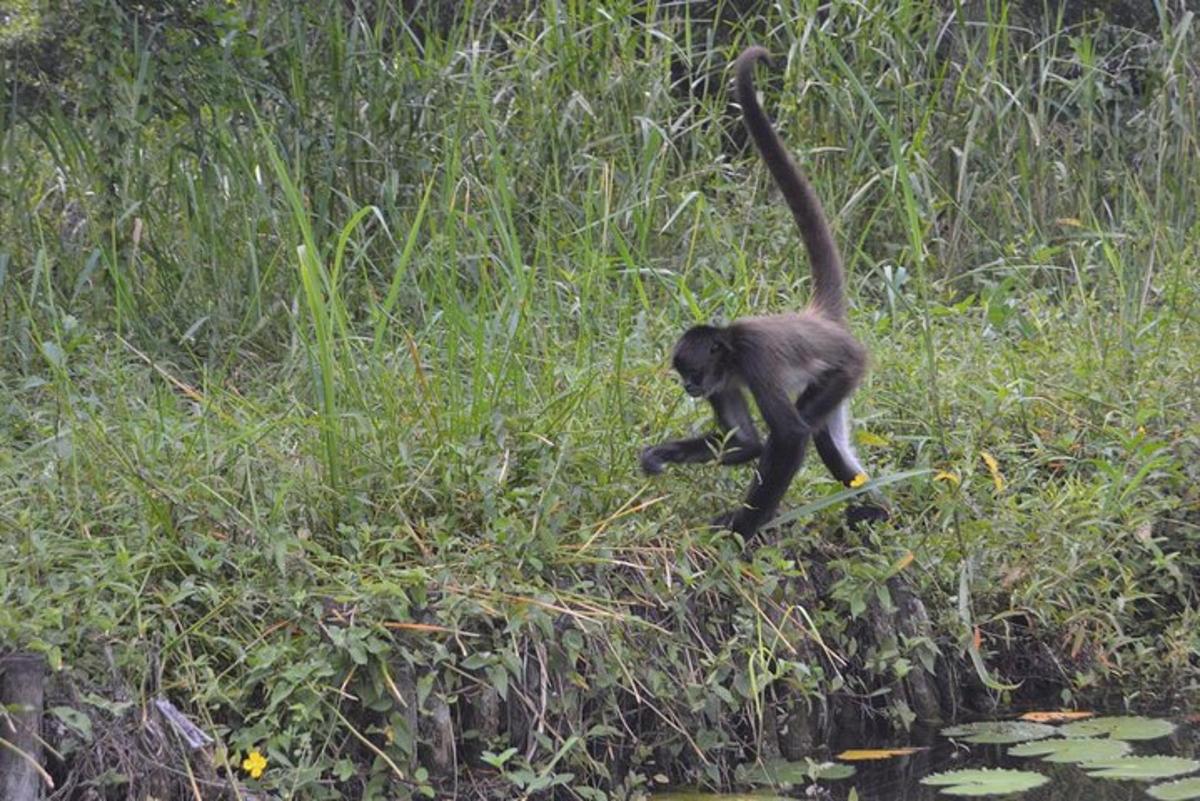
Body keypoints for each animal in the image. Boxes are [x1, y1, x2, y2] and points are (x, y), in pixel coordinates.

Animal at [643, 47, 888, 541]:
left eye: (692, 371)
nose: (689, 387)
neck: (732, 351)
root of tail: (818, 317)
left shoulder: (753, 360)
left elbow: (788, 439)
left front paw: (741, 528)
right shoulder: (725, 382)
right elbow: (746, 442)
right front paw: (662, 455)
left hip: (847, 367)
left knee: (809, 429)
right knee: (828, 439)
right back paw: (875, 513)